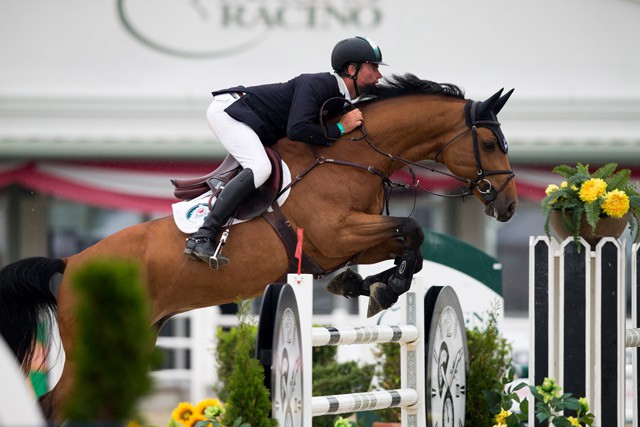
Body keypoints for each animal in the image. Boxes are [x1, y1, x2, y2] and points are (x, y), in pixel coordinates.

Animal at [0, 73, 516, 422]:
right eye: (491, 143)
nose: (508, 206)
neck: (353, 155)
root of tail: (70, 263)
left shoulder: (353, 239)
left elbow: (410, 242)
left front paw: (370, 287)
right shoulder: (339, 233)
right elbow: (411, 229)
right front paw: (380, 289)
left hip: (132, 337)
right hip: (88, 348)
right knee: (53, 405)